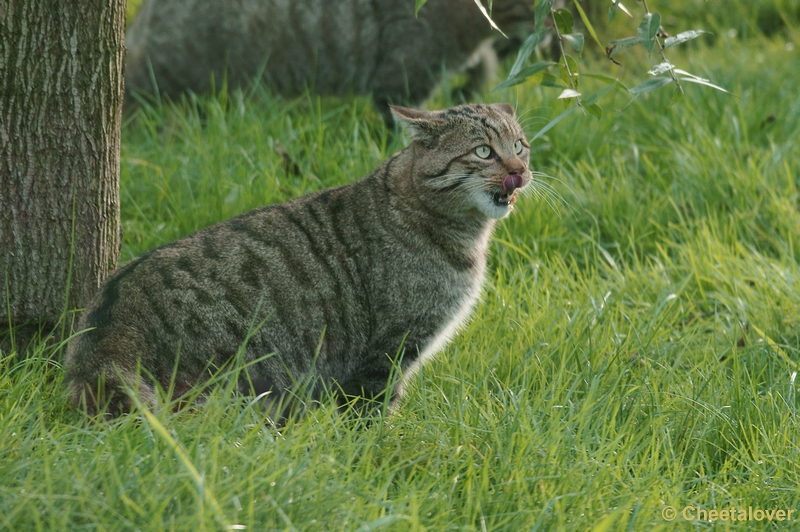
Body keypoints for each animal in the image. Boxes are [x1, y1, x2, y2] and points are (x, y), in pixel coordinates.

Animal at [65, 104, 532, 420]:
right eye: (484, 152)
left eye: (519, 147)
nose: (521, 171)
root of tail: (105, 334)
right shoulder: (386, 352)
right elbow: (372, 414)